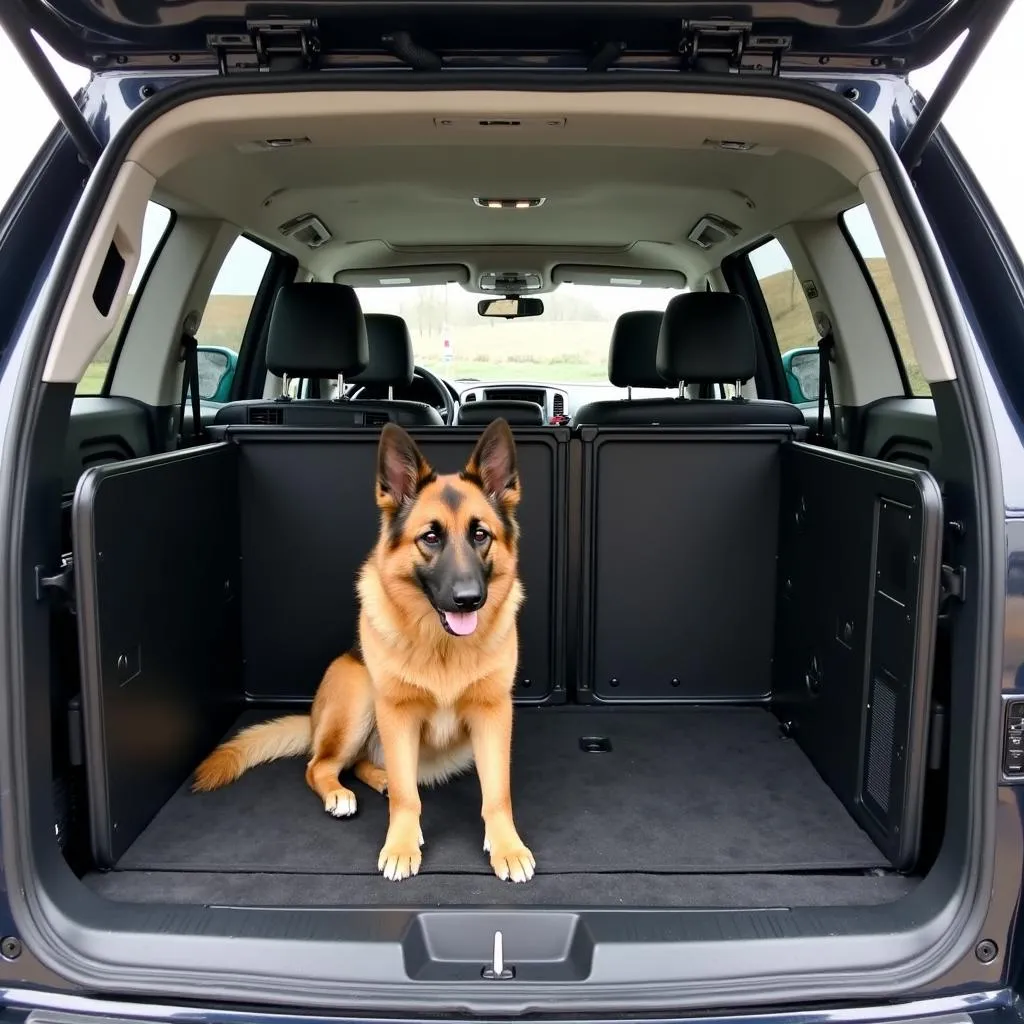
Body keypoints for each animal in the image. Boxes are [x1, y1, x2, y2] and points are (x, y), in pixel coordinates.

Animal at [190, 419, 536, 884]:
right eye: (430, 537)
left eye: (481, 535)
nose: (469, 600)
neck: (442, 646)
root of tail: (314, 720)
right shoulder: (397, 713)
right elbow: (408, 797)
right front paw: (401, 845)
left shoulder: (494, 714)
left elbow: (497, 793)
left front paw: (507, 847)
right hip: (359, 694)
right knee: (320, 765)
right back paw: (342, 792)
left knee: (357, 764)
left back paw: (380, 777)